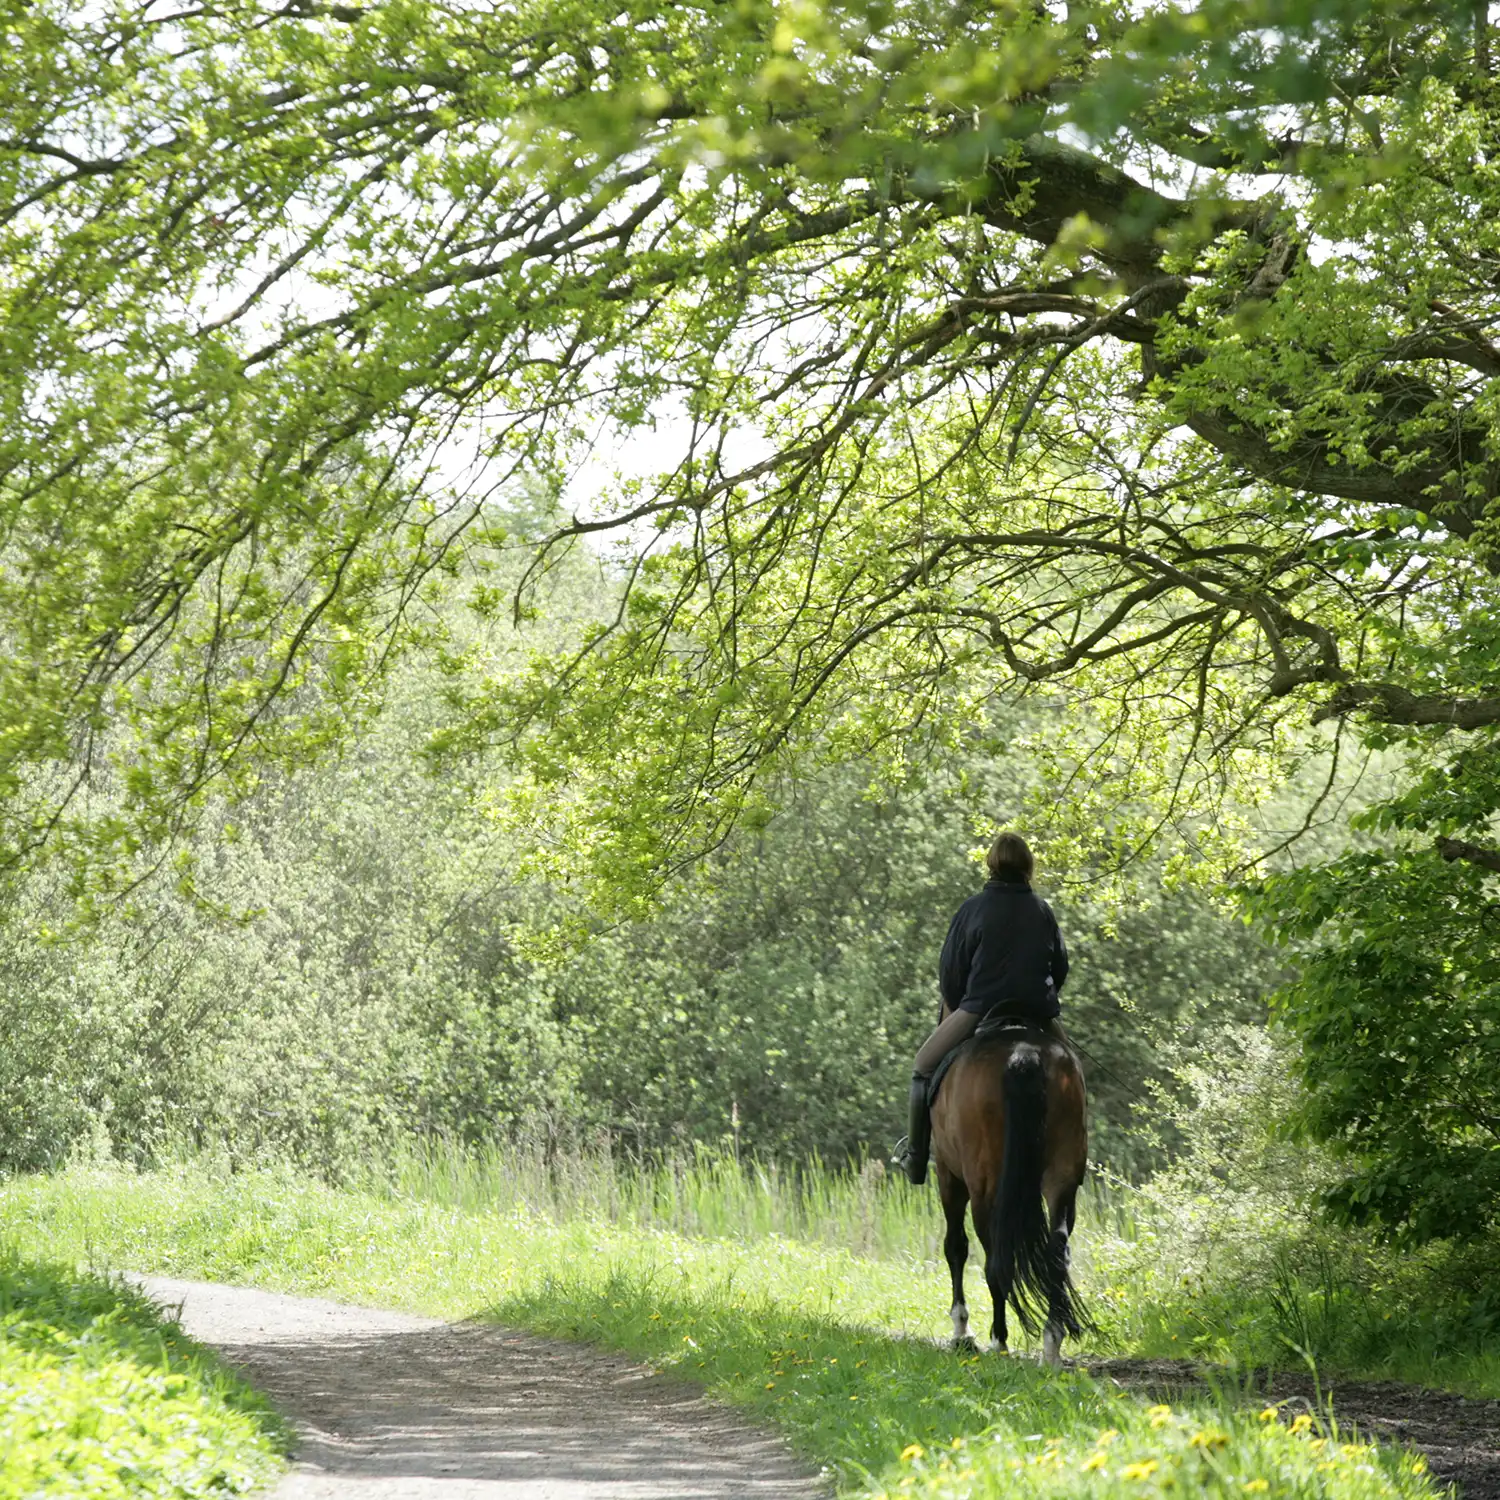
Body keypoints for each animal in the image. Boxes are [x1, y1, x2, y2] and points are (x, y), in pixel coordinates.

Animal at [929, 1022, 1091, 1365]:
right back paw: (1051, 1343)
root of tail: (1024, 1053)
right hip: (1062, 1178)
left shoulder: (949, 1177)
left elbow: (955, 1247)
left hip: (982, 1186)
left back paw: (999, 1340)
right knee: (1058, 1250)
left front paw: (962, 1330)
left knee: (995, 1259)